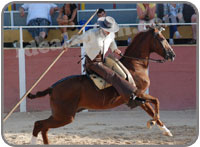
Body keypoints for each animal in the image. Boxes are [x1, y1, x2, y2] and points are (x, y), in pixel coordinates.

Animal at [27, 25, 175, 144]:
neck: (135, 66)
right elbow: (156, 101)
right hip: (64, 117)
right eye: (162, 39)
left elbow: (152, 109)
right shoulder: (139, 93)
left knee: (43, 127)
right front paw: (153, 122)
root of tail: (53, 88)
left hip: (60, 115)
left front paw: (166, 130)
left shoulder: (141, 98)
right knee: (39, 124)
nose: (172, 55)